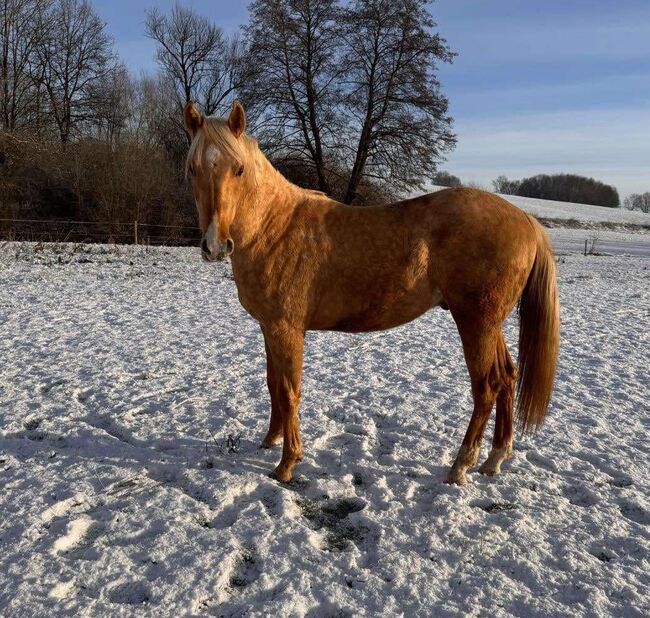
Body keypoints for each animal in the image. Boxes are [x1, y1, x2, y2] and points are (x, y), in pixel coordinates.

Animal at [182, 101, 556, 484]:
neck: (273, 228)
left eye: (239, 169)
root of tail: (526, 219)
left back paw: (461, 465)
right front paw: (270, 440)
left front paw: (286, 463)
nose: (214, 245)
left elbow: (288, 392)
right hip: (489, 324)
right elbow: (273, 385)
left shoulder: (286, 329)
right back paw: (494, 459)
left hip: (476, 322)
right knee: (507, 377)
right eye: (192, 169)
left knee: (487, 387)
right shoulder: (268, 327)